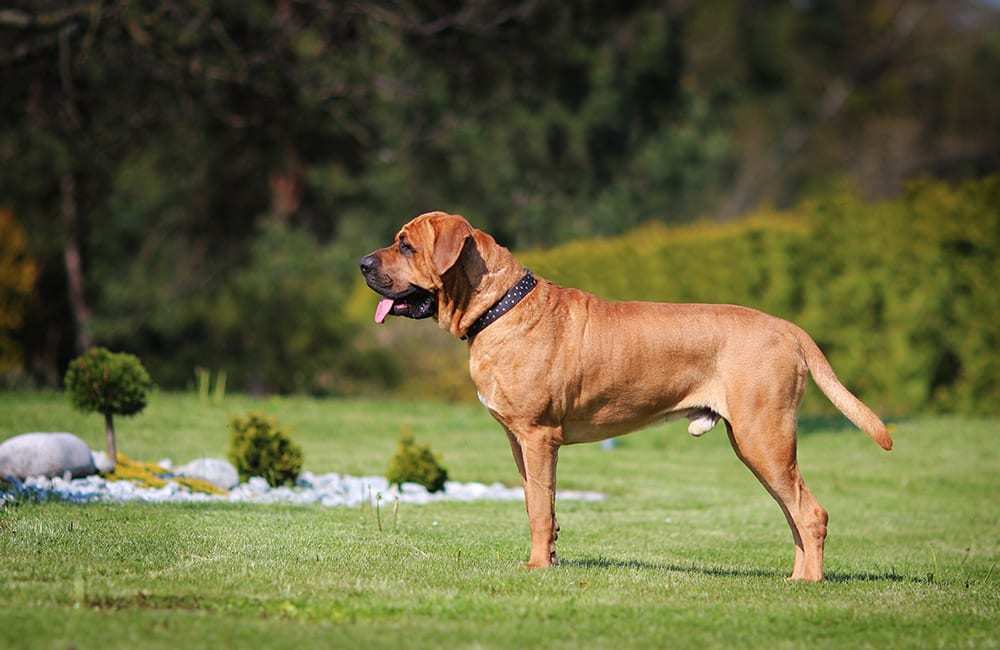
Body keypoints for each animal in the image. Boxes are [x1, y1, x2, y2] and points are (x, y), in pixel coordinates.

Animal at [358, 210, 892, 580]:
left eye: (406, 245)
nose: (362, 264)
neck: (498, 308)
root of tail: (789, 328)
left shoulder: (538, 436)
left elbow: (539, 509)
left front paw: (538, 569)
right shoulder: (519, 443)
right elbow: (539, 503)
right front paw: (548, 559)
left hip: (765, 437)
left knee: (810, 512)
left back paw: (810, 584)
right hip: (759, 445)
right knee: (793, 514)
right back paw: (796, 576)